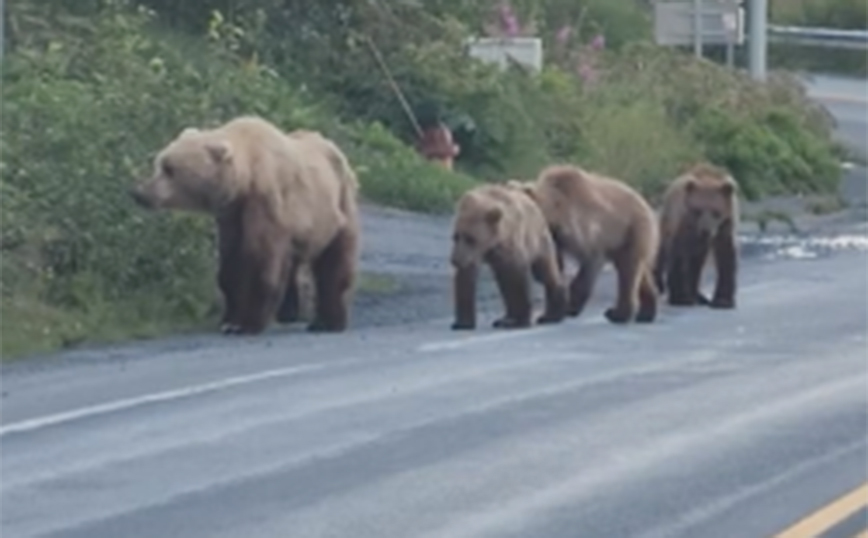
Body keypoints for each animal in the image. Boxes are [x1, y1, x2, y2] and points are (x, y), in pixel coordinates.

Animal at [129, 115, 360, 332]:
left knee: (334, 263)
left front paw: (246, 324)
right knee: (292, 262)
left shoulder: (265, 203)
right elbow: (231, 261)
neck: (245, 178)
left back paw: (327, 322)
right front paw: (228, 319)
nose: (140, 193)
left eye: (170, 169)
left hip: (337, 207)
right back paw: (288, 312)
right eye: (158, 164)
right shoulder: (230, 214)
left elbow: (259, 259)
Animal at [448, 182, 568, 328]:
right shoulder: (474, 253)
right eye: (456, 236)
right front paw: (462, 323)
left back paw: (551, 315)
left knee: (545, 273)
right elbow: (466, 278)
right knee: (504, 281)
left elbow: (518, 277)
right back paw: (504, 319)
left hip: (538, 240)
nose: (454, 260)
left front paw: (522, 320)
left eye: (471, 238)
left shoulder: (510, 243)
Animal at [516, 163, 656, 322]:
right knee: (638, 270)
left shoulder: (583, 228)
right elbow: (554, 266)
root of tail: (644, 202)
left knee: (628, 270)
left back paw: (618, 313)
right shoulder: (555, 238)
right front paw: (550, 312)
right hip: (623, 240)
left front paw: (571, 307)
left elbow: (590, 260)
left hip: (632, 228)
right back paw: (646, 312)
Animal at [652, 161, 740, 308]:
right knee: (663, 251)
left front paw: (723, 300)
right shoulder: (685, 222)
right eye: (698, 210)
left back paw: (698, 296)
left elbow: (725, 254)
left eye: (716, 212)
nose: (706, 230)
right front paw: (680, 297)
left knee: (696, 262)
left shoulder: (726, 224)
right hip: (667, 219)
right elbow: (679, 254)